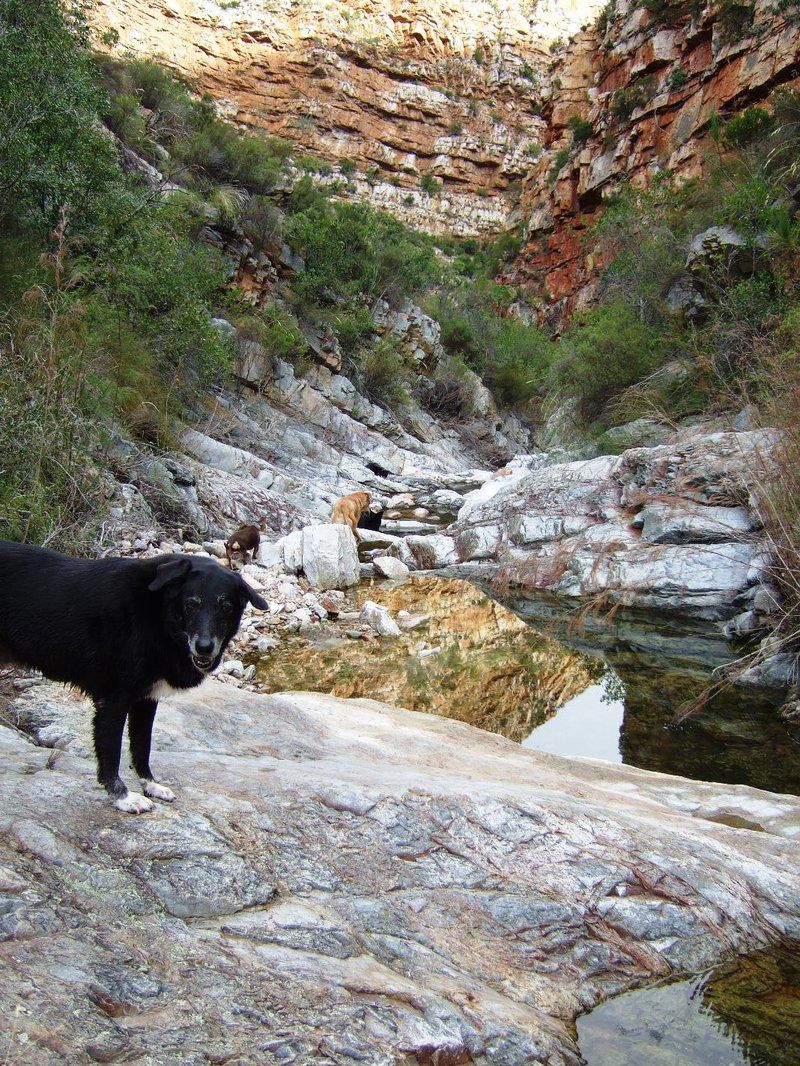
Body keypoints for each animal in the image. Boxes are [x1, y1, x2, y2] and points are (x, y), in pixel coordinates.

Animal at [0, 545, 269, 810]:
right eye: (191, 604)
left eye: (226, 607)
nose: (204, 648)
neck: (157, 615)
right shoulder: (113, 701)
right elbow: (111, 750)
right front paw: (122, 796)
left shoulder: (146, 700)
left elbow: (142, 746)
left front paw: (150, 785)